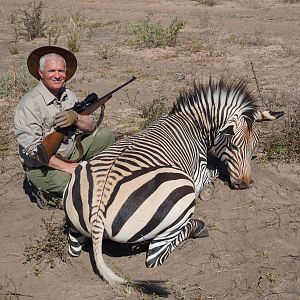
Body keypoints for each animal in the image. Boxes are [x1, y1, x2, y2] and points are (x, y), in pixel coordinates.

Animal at [63, 78, 284, 290]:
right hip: (182, 190)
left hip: (75, 219)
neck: (194, 125)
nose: (245, 184)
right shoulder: (199, 172)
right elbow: (212, 174)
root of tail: (98, 215)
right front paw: (209, 189)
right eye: (233, 145)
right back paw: (198, 227)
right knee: (156, 253)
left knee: (74, 248)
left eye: (255, 144)